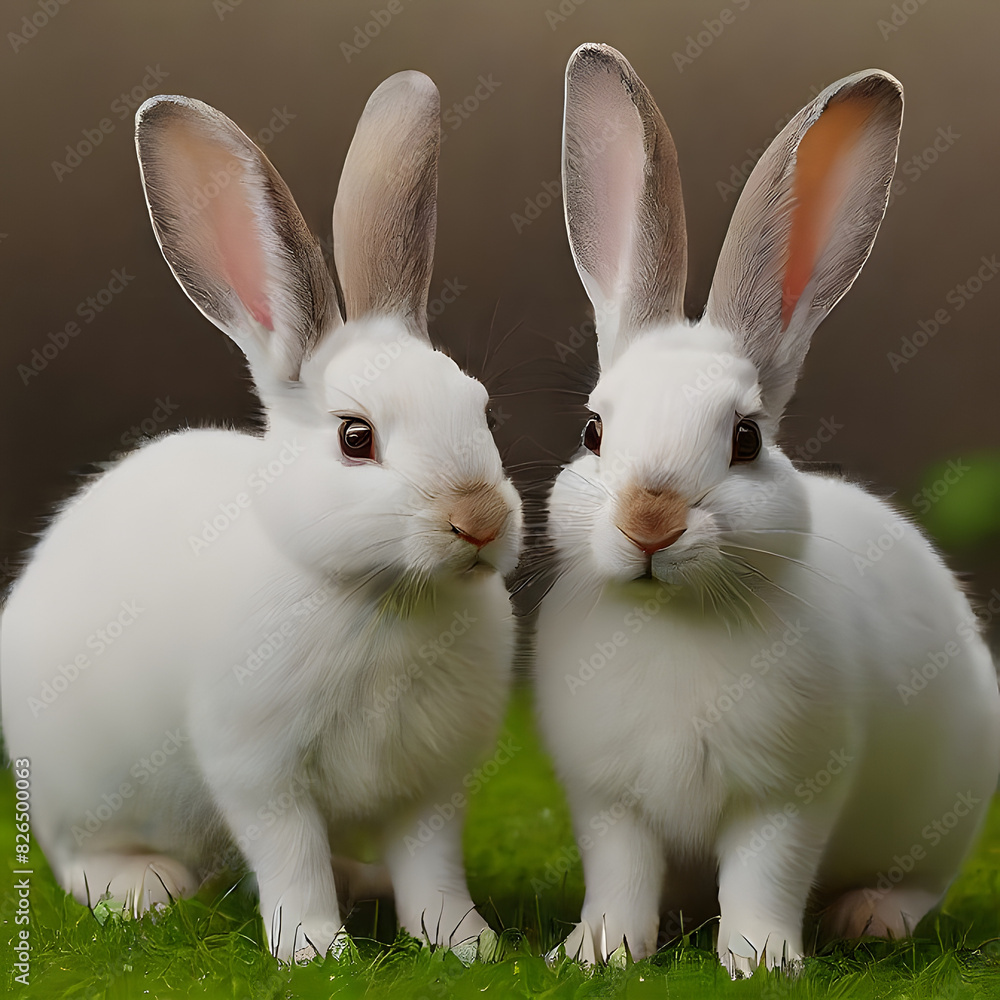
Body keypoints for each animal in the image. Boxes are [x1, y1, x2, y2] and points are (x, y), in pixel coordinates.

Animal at [0, 71, 523, 963]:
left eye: (482, 411)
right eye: (356, 438)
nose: (479, 517)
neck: (382, 596)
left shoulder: (430, 786)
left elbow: (433, 870)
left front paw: (465, 944)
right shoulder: (258, 770)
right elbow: (289, 856)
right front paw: (316, 951)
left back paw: (364, 882)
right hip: (78, 787)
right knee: (80, 859)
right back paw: (141, 888)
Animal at [534, 43, 1000, 977]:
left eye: (746, 439)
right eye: (595, 431)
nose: (650, 521)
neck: (673, 620)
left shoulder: (787, 797)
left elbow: (764, 876)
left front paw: (759, 961)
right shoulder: (608, 803)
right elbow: (619, 879)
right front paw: (598, 953)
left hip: (952, 809)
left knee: (920, 884)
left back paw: (872, 918)